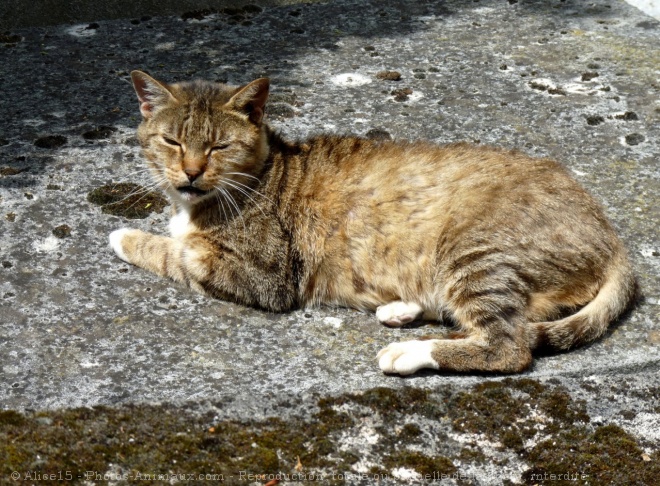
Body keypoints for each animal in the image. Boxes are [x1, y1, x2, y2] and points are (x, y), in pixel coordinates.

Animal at [111, 71, 636, 376]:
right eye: (172, 141)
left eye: (219, 146)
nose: (191, 172)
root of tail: (612, 236)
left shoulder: (264, 277)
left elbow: (177, 252)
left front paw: (126, 236)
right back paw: (402, 310)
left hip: (475, 251)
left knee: (508, 344)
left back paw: (410, 352)